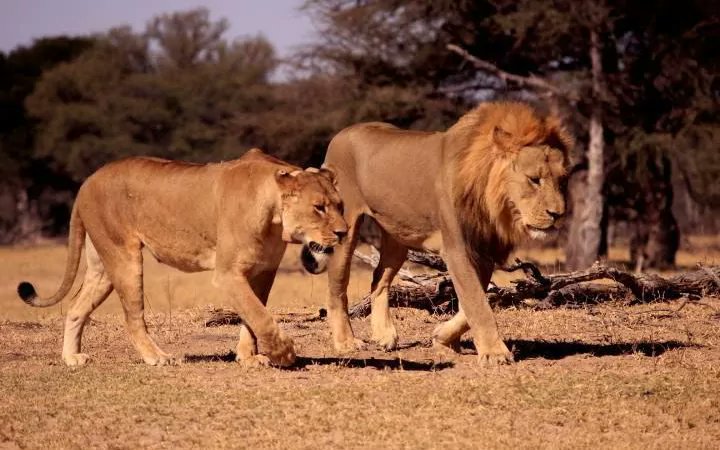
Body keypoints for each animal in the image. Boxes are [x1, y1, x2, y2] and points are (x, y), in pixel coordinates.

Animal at [17, 148, 348, 367]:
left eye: (340, 205)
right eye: (318, 207)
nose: (344, 232)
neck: (275, 216)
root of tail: (87, 181)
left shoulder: (263, 271)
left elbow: (253, 314)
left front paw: (248, 357)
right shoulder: (227, 273)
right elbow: (260, 316)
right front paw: (283, 353)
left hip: (101, 265)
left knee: (76, 307)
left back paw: (72, 358)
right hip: (124, 257)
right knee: (132, 316)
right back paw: (157, 358)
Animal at [317, 102, 572, 364]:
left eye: (563, 181)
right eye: (534, 179)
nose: (558, 214)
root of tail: (342, 133)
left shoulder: (483, 251)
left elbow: (474, 302)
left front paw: (442, 338)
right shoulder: (457, 249)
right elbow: (477, 302)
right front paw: (495, 353)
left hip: (398, 237)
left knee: (379, 278)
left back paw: (384, 335)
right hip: (345, 230)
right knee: (337, 288)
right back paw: (346, 342)